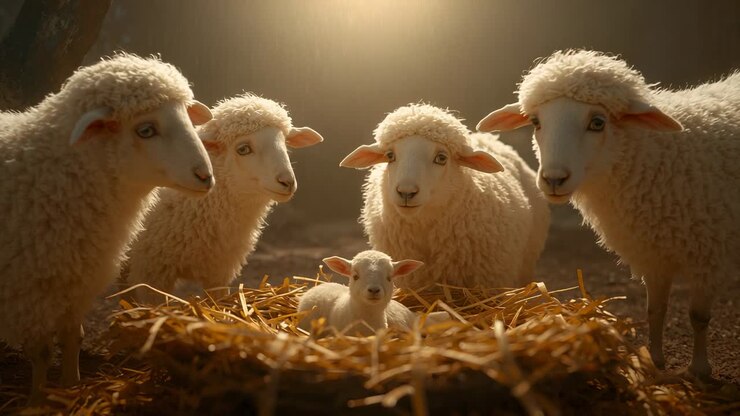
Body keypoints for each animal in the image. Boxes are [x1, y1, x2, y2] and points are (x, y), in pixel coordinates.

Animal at [0, 53, 214, 401]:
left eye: (186, 115)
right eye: (145, 130)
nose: (205, 176)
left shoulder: (77, 280)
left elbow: (72, 337)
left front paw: (70, 385)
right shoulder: (28, 293)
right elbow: (41, 352)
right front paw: (37, 399)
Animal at [476, 49, 740, 379]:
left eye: (597, 122)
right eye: (536, 121)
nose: (553, 179)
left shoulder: (709, 253)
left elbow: (698, 316)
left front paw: (700, 369)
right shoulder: (652, 253)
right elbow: (655, 311)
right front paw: (654, 360)